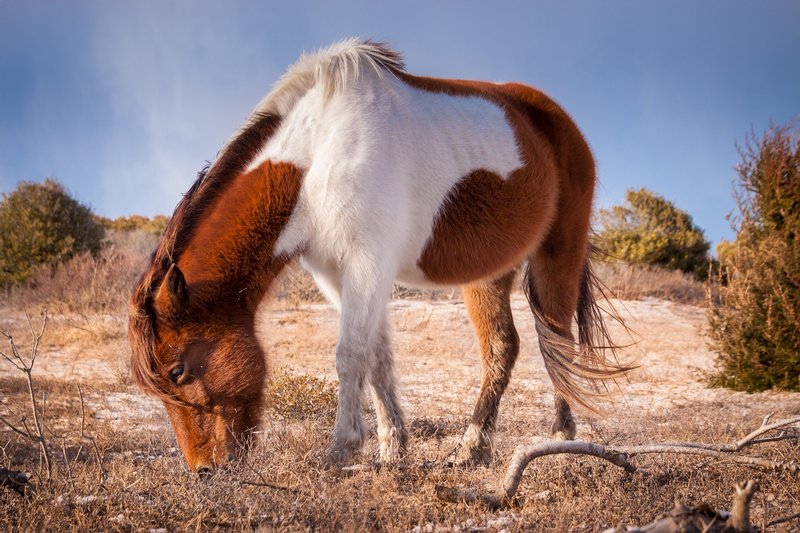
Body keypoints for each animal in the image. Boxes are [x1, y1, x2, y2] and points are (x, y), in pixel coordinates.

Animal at [130, 39, 632, 472]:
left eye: (177, 370)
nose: (206, 469)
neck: (319, 153)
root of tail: (561, 123)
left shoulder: (365, 265)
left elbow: (350, 354)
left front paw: (342, 448)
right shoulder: (336, 275)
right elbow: (377, 357)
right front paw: (393, 449)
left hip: (557, 254)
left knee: (559, 343)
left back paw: (560, 443)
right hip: (490, 272)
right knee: (502, 349)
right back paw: (471, 450)